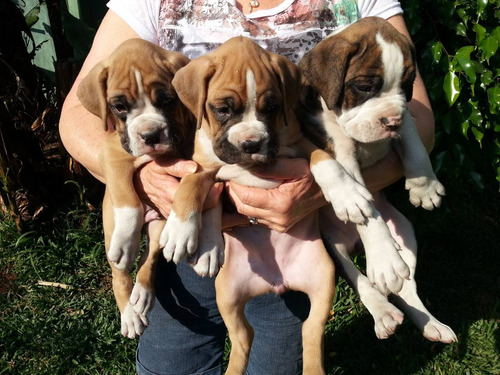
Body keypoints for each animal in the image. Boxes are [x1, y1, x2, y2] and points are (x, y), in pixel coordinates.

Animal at [77, 39, 194, 340]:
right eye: (119, 107)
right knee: (119, 273)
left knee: (150, 256)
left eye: (168, 100)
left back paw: (142, 294)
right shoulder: (114, 156)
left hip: (159, 225)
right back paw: (129, 314)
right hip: (109, 226)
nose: (151, 135)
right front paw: (126, 240)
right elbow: (127, 198)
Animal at [164, 36, 372, 375]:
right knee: (244, 336)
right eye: (222, 109)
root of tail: (277, 282)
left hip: (323, 280)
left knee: (310, 331)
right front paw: (185, 234)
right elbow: (191, 188)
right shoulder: (204, 168)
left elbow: (324, 160)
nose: (251, 144)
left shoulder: (300, 145)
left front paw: (347, 193)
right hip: (227, 294)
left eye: (272, 108)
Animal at [298, 17, 456, 344]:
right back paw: (383, 312)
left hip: (406, 233)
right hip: (331, 248)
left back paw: (430, 324)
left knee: (407, 288)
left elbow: (414, 142)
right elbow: (366, 211)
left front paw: (424, 187)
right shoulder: (340, 150)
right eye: (365, 87)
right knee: (360, 280)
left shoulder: (406, 117)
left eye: (406, 87)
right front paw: (383, 256)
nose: (390, 121)